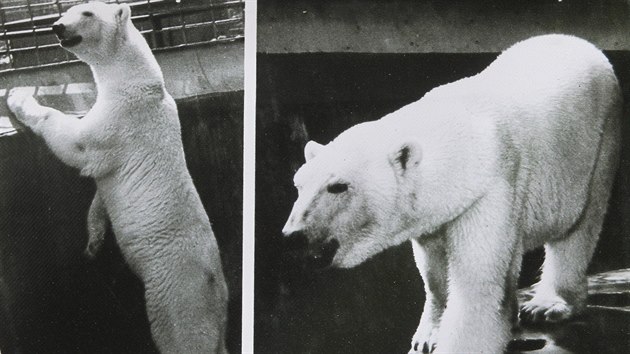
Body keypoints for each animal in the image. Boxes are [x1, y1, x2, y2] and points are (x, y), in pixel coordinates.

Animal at [7, 2, 230, 354]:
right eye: (69, 9)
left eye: (86, 14)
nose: (57, 26)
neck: (139, 78)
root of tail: (218, 293)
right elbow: (101, 192)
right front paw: (92, 242)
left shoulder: (120, 118)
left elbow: (78, 144)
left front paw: (18, 96)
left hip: (179, 290)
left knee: (181, 334)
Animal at [284, 34, 624, 354]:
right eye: (298, 184)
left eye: (338, 186)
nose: (294, 235)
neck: (461, 136)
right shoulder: (436, 218)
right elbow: (434, 274)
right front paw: (428, 335)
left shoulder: (491, 189)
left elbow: (478, 286)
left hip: (597, 144)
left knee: (579, 226)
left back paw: (548, 304)